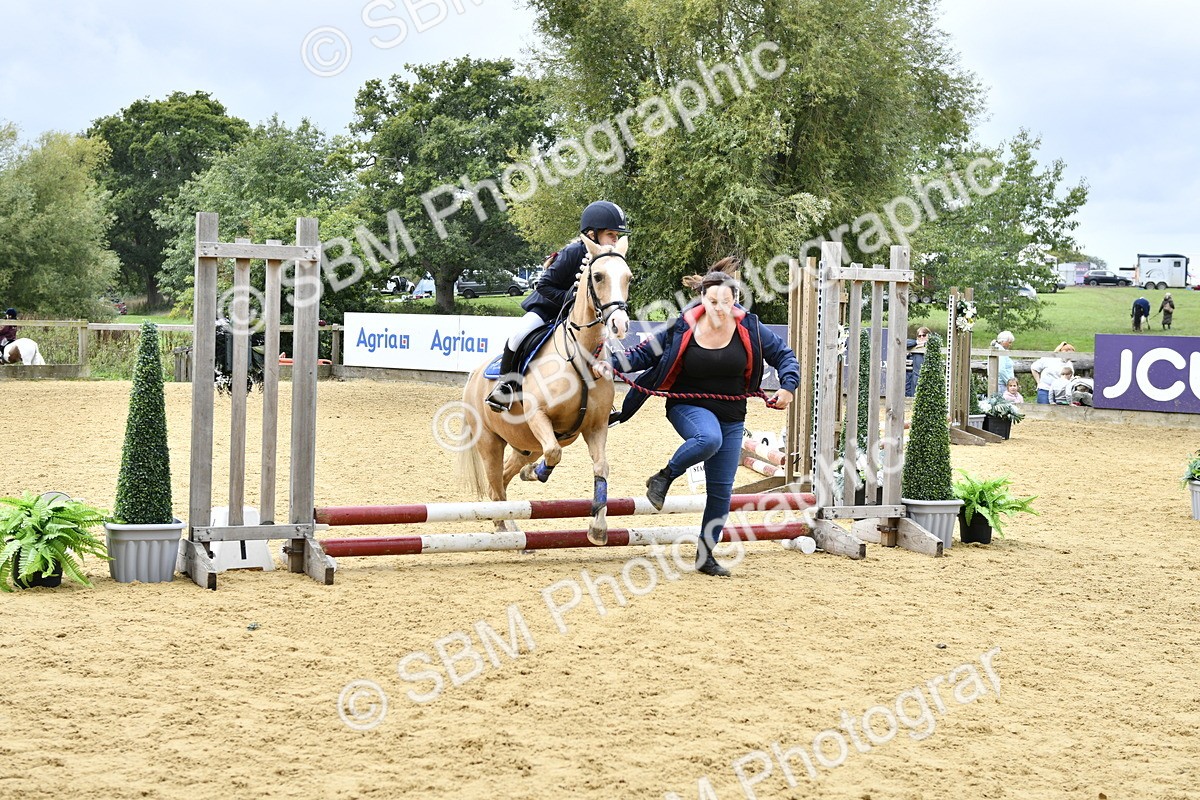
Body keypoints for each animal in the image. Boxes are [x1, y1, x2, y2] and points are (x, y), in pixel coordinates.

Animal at [458, 235, 631, 545]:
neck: (580, 354)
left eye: (628, 278)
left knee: (503, 480)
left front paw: (598, 528)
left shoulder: (596, 426)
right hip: (489, 442)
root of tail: (474, 375)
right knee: (495, 487)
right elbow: (554, 452)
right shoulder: (538, 416)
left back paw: (511, 524)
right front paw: (536, 474)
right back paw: (509, 531)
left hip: (524, 444)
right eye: (598, 276)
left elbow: (601, 468)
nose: (620, 324)